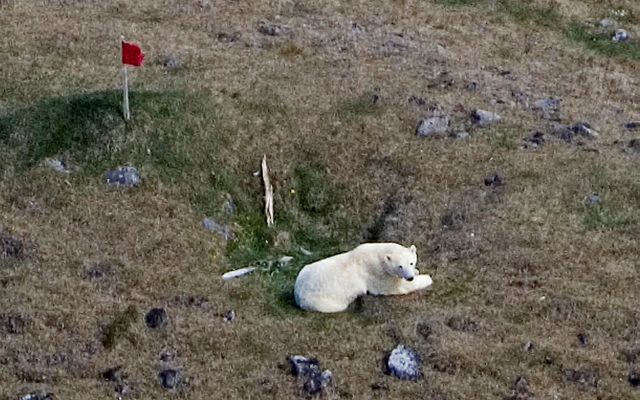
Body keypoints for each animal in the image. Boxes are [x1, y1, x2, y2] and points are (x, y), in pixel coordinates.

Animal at [296, 242, 436, 314]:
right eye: (400, 266)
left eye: (411, 263)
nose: (410, 277)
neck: (379, 255)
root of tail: (297, 294)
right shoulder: (377, 273)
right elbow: (397, 287)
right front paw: (427, 278)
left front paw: (417, 271)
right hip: (321, 301)